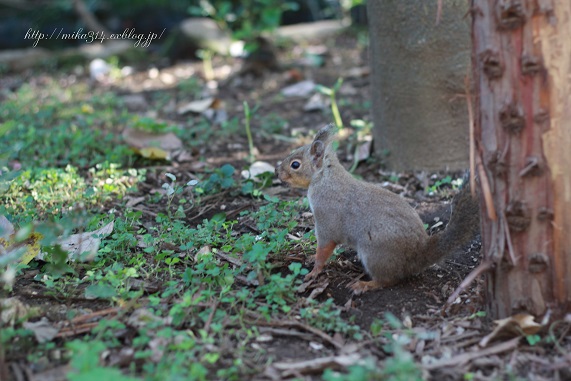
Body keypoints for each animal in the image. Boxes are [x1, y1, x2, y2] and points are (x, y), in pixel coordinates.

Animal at [274, 123, 480, 292]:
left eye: (295, 164)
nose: (277, 172)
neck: (324, 178)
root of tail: (418, 255)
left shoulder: (326, 219)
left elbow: (324, 248)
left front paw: (314, 270)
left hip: (374, 252)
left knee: (390, 280)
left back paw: (364, 285)